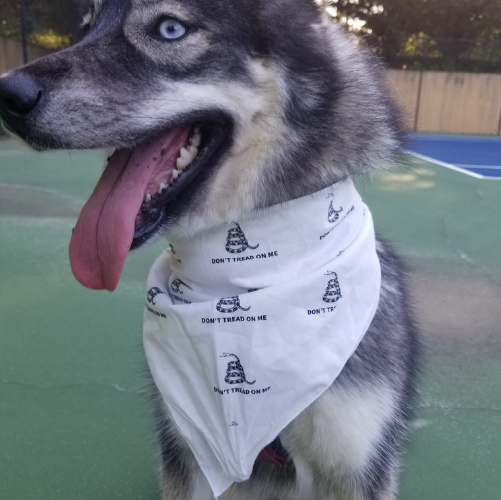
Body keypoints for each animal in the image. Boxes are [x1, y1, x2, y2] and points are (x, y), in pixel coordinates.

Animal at [0, 0, 418, 498]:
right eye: (85, 28)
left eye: (170, 29)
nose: (8, 94)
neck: (251, 280)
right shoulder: (186, 456)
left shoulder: (354, 468)